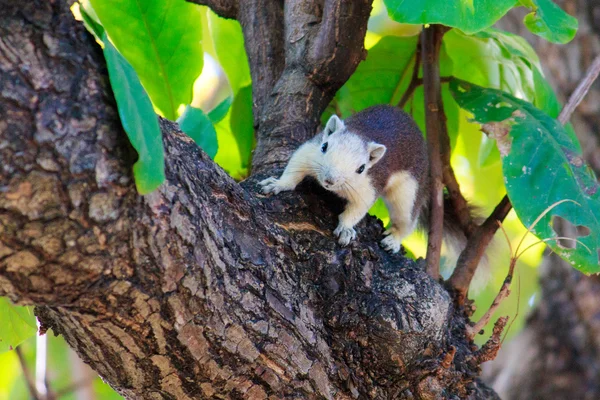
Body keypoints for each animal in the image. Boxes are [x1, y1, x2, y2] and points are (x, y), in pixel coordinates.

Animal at [260, 104, 472, 256]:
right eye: (324, 146)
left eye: (361, 168)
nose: (329, 181)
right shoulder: (309, 152)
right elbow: (294, 169)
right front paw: (277, 184)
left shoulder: (368, 186)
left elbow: (357, 210)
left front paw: (346, 228)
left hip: (409, 190)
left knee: (406, 220)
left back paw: (394, 239)